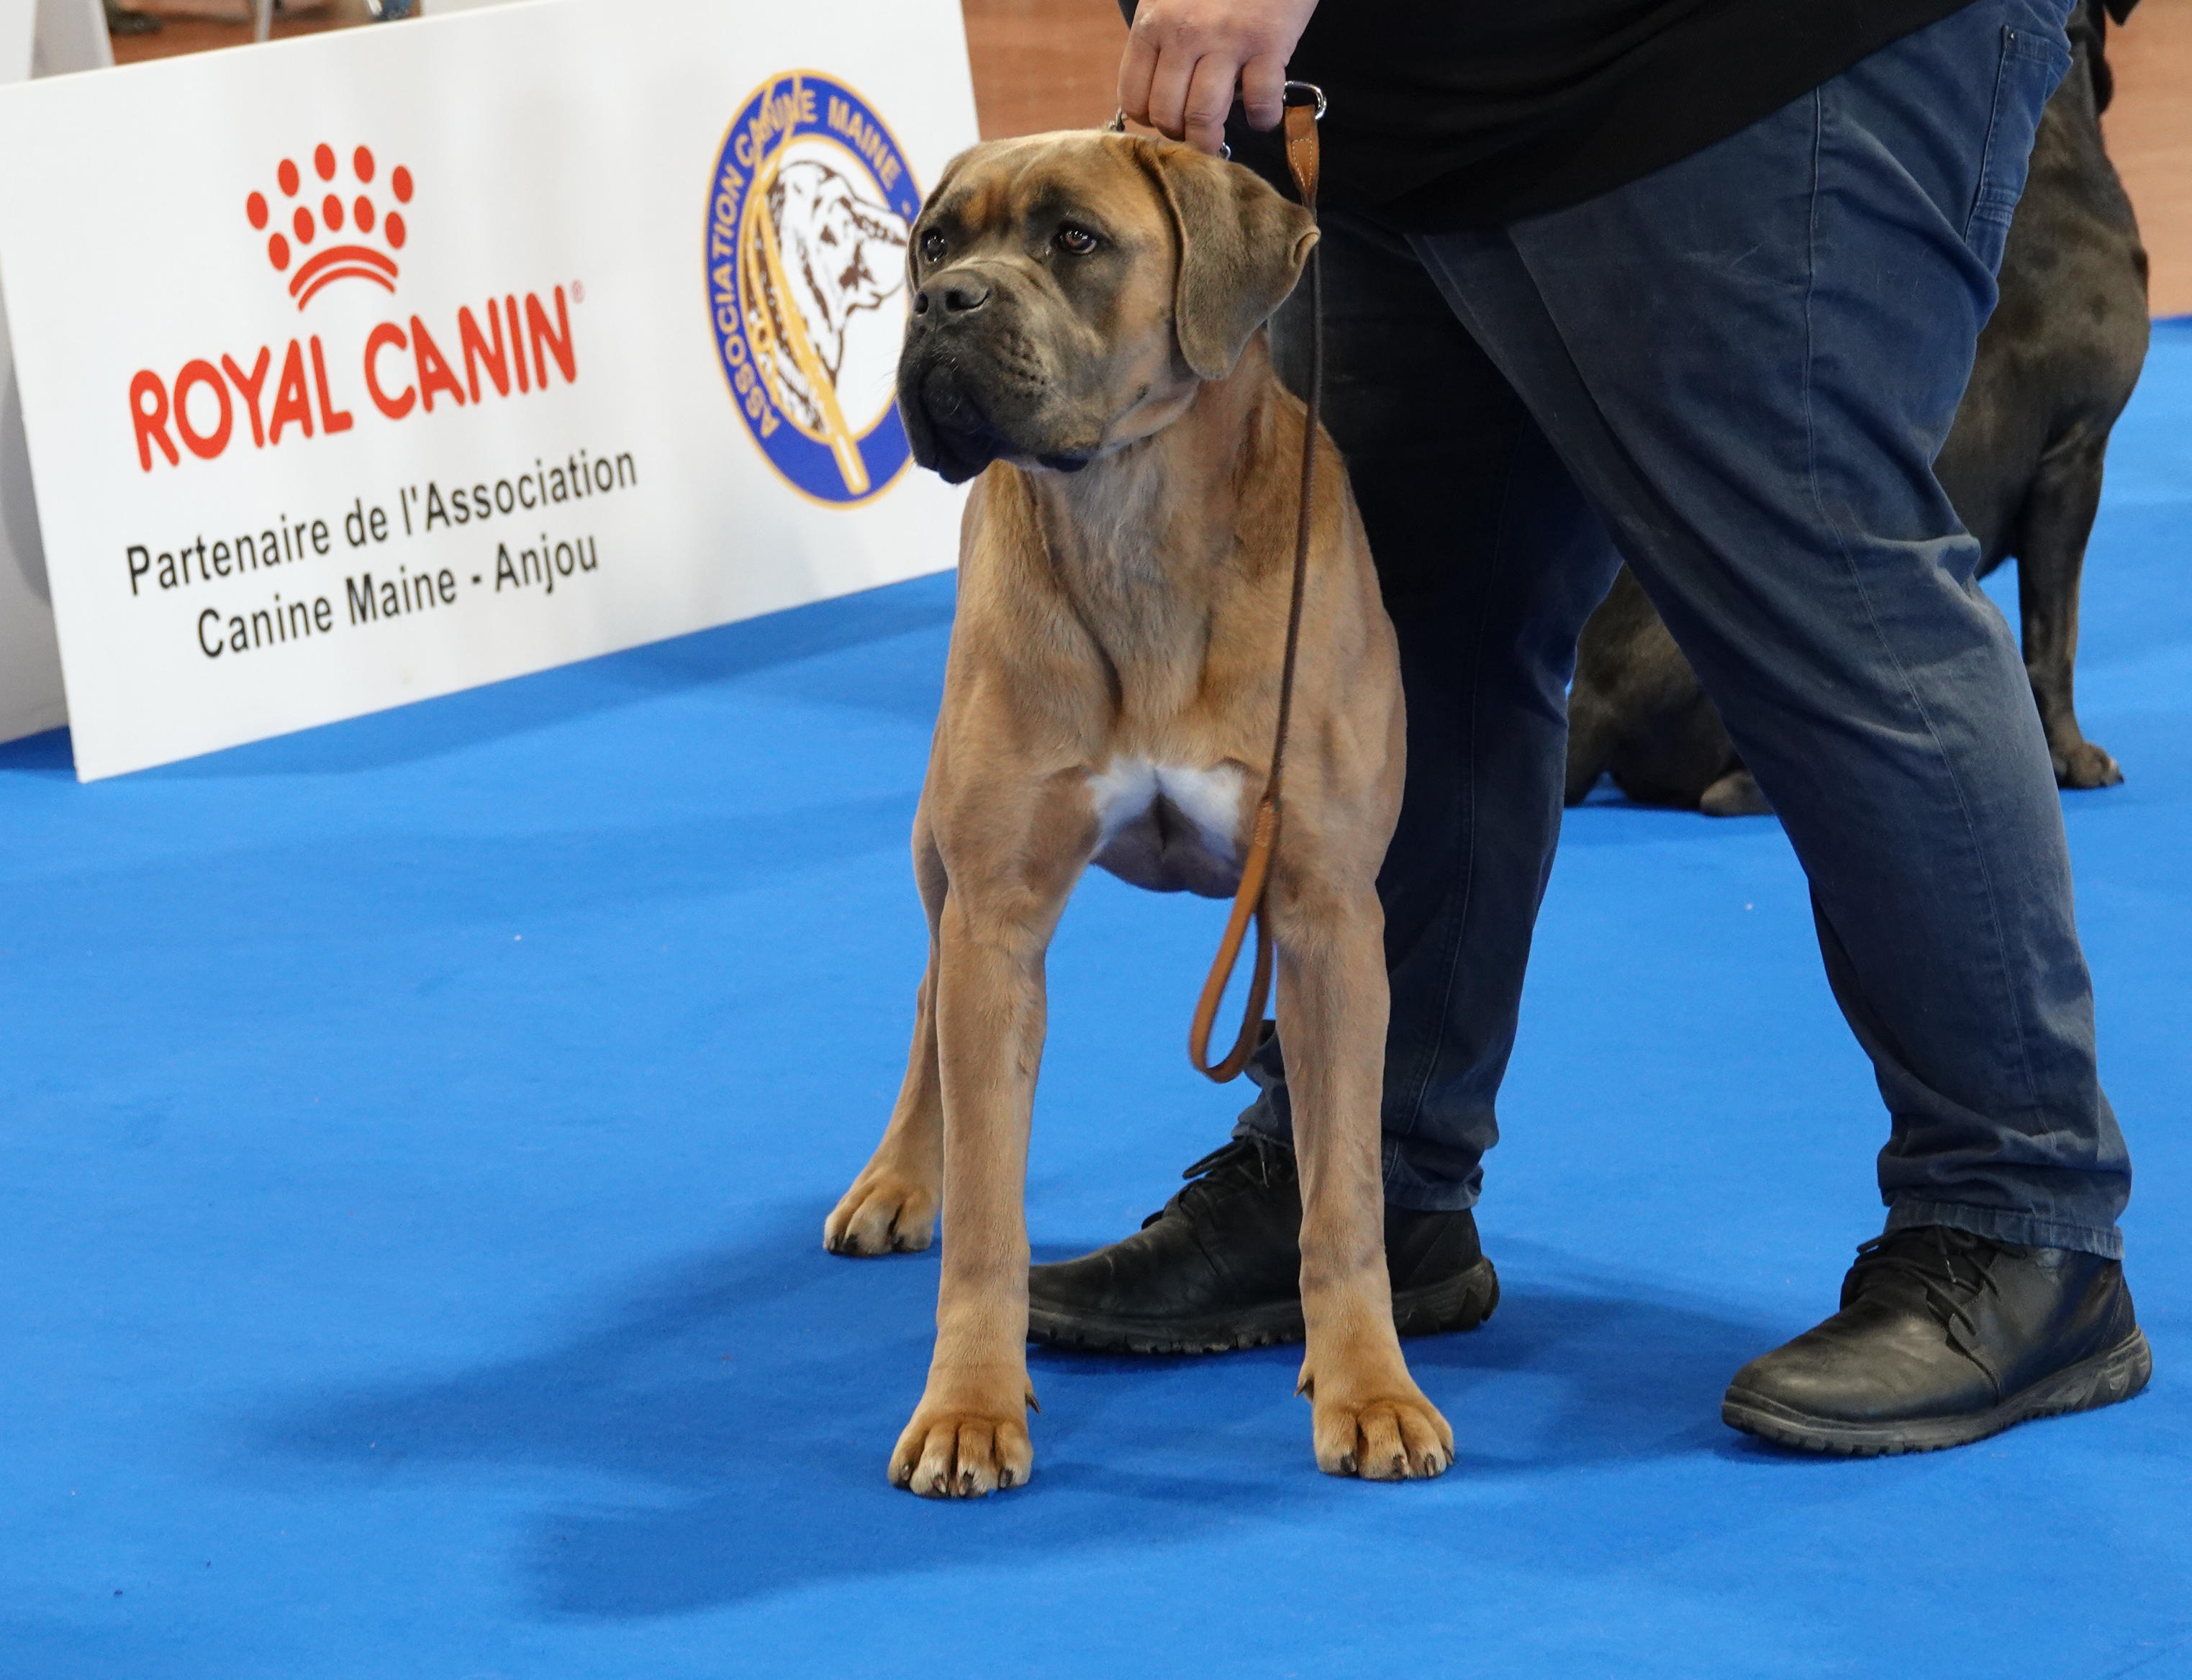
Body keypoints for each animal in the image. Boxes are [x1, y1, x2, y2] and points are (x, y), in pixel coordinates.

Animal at [815, 131, 1446, 1498]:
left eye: (1075, 241)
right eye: (934, 241)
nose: (945, 304)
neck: (1132, 513)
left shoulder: (1324, 919)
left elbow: (1346, 1195)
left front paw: (1369, 1387)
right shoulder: (998, 919)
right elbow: (987, 1213)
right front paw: (969, 1405)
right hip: (942, 855)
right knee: (926, 999)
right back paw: (896, 1177)